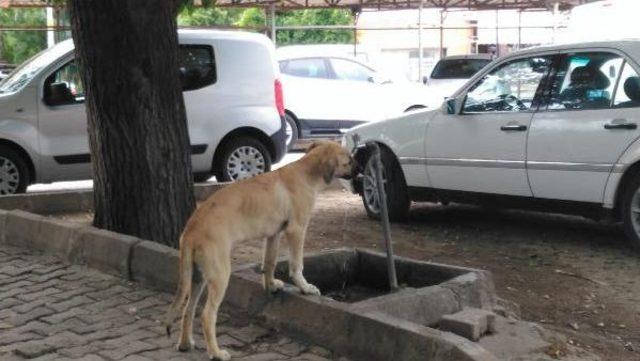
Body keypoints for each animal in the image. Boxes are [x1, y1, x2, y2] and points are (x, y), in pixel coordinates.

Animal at [162, 141, 352, 360]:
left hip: (197, 277)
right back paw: (216, 353)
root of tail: (191, 230)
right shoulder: (296, 230)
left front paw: (271, 286)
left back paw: (185, 344)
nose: (360, 169)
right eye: (349, 160)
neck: (305, 172)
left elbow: (269, 263)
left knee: (188, 309)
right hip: (219, 275)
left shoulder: (273, 235)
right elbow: (297, 265)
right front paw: (305, 287)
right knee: (207, 315)